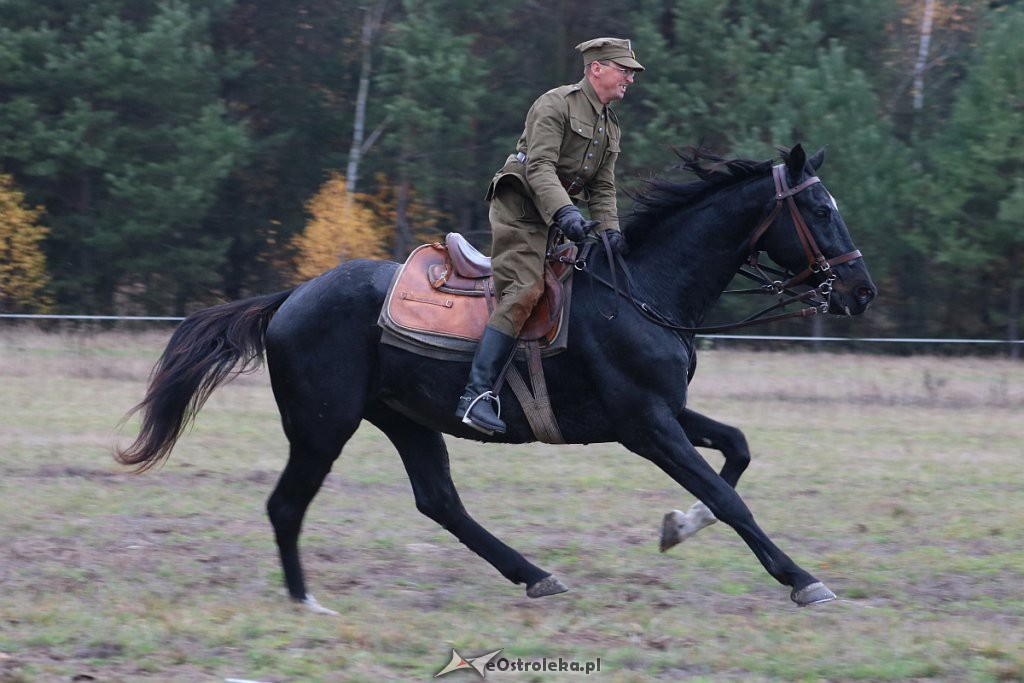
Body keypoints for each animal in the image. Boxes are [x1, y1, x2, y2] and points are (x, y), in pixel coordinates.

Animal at [117, 144, 872, 614]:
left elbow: (736, 451)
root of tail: (292, 298)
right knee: (286, 505)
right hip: (322, 427)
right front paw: (801, 579)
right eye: (821, 210)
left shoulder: (666, 411)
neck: (639, 289)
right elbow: (729, 495)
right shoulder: (645, 425)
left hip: (407, 420)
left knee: (440, 502)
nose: (859, 292)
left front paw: (680, 525)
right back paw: (306, 600)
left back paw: (534, 574)